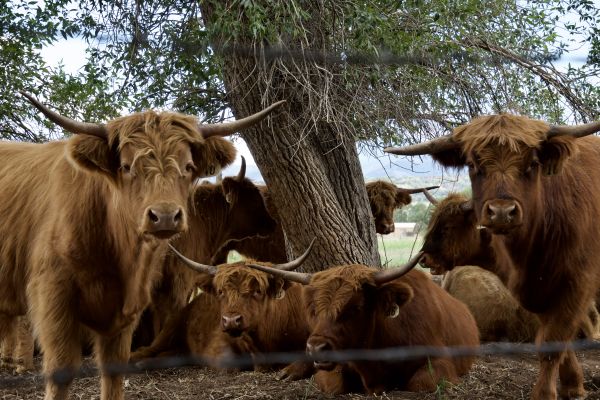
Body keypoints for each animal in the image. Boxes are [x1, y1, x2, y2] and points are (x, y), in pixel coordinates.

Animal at [0, 92, 284, 398]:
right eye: (126, 167)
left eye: (188, 167)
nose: (165, 216)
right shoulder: (53, 295)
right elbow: (61, 368)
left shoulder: (131, 303)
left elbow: (115, 370)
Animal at [246, 253, 480, 394]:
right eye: (314, 309)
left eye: (355, 308)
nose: (316, 348)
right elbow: (334, 384)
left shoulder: (440, 361)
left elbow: (420, 383)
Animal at [386, 114, 600, 398]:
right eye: (472, 164)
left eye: (533, 163)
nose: (501, 212)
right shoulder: (540, 295)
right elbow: (557, 342)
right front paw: (573, 384)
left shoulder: (577, 285)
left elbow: (554, 342)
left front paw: (547, 392)